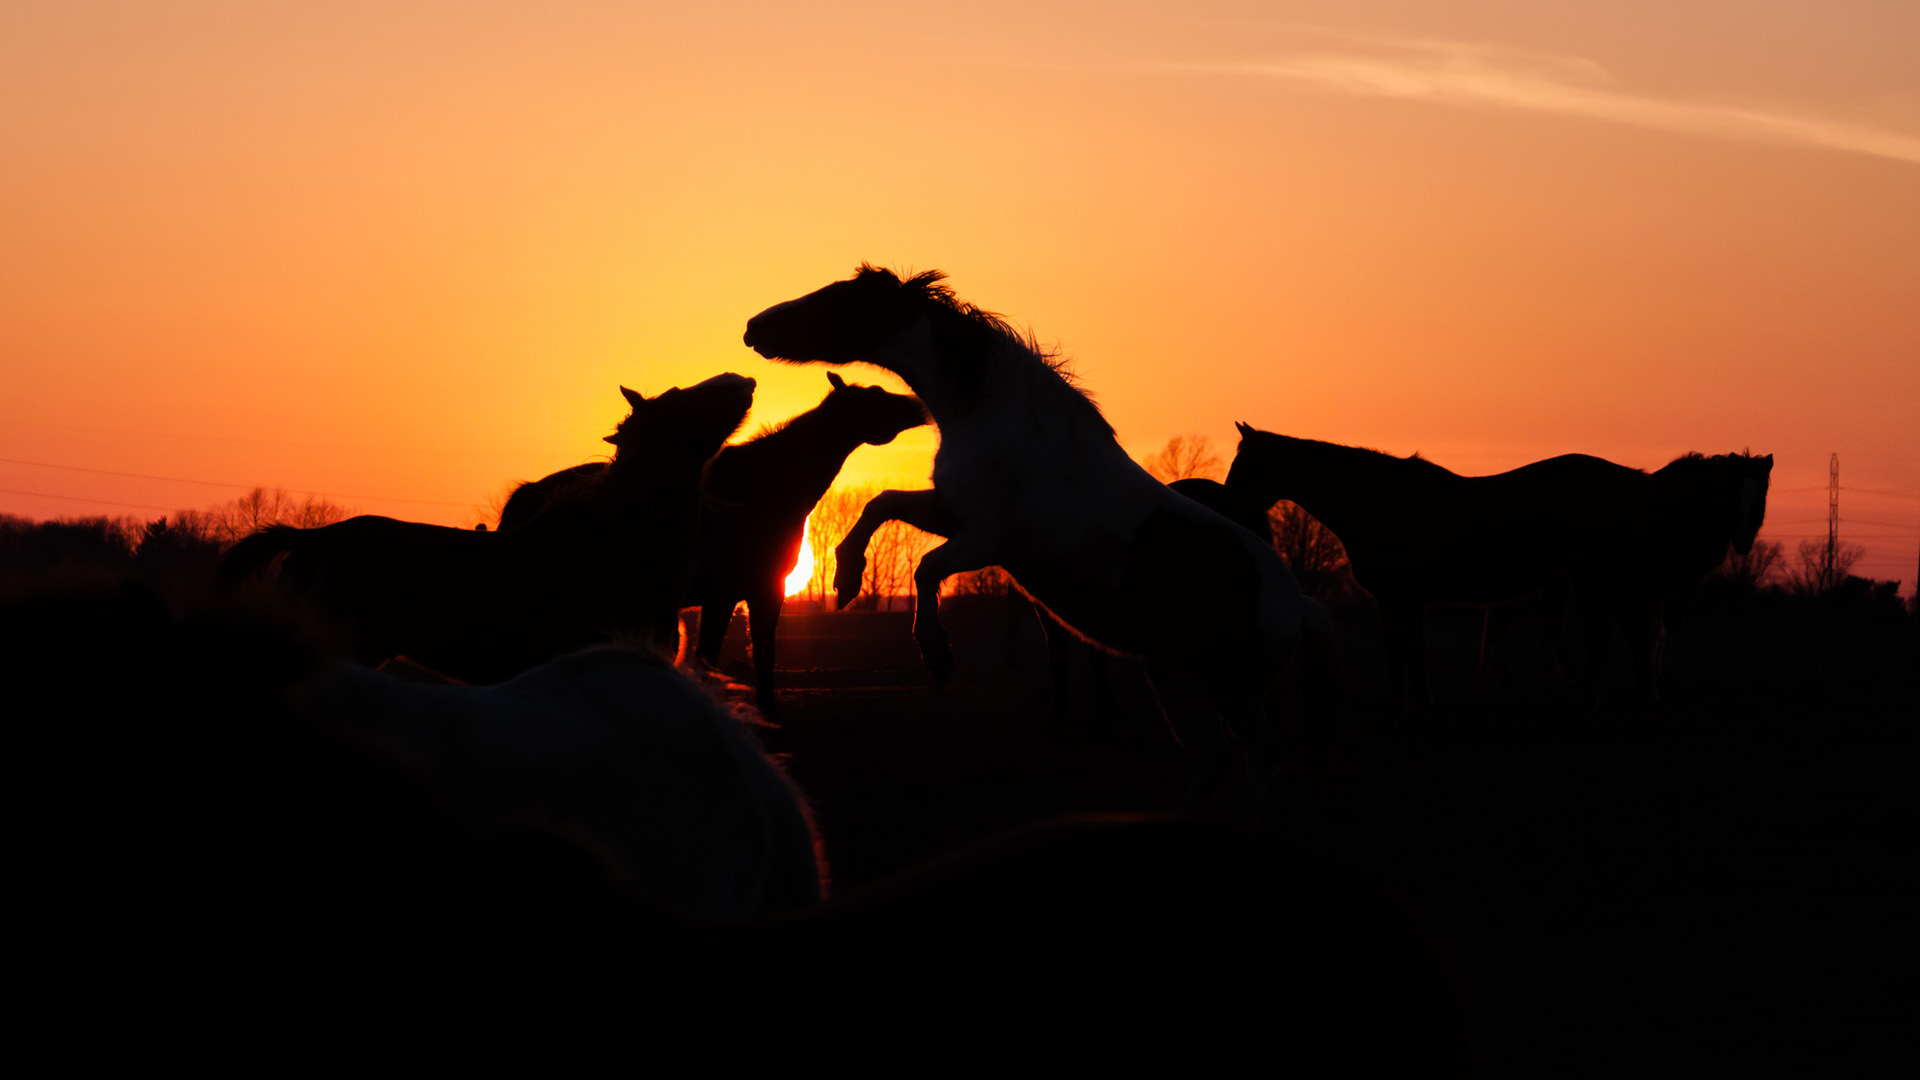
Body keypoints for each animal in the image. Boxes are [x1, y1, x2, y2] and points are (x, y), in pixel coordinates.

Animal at [499, 368, 925, 714]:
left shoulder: (738, 594)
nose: (917, 406)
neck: (764, 486)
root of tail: (529, 494)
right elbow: (739, 656)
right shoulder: (743, 592)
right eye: (874, 394)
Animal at [741, 265, 1328, 810]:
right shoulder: (952, 513)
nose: (754, 328)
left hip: (1231, 688)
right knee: (1214, 762)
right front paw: (846, 581)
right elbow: (878, 506)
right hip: (1177, 678)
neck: (1003, 423)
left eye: (837, 298)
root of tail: (1297, 603)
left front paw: (937, 654)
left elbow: (926, 568)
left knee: (1260, 756)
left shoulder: (988, 539)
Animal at [1221, 422, 1658, 714]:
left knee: (1627, 633)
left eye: (1245, 465)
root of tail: (1632, 480)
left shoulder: (1397, 597)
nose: (1226, 509)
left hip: (1599, 573)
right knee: (1609, 635)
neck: (1373, 499)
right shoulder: (1411, 599)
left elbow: (1400, 653)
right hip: (1588, 576)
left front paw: (1403, 708)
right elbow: (1412, 652)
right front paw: (1418, 705)